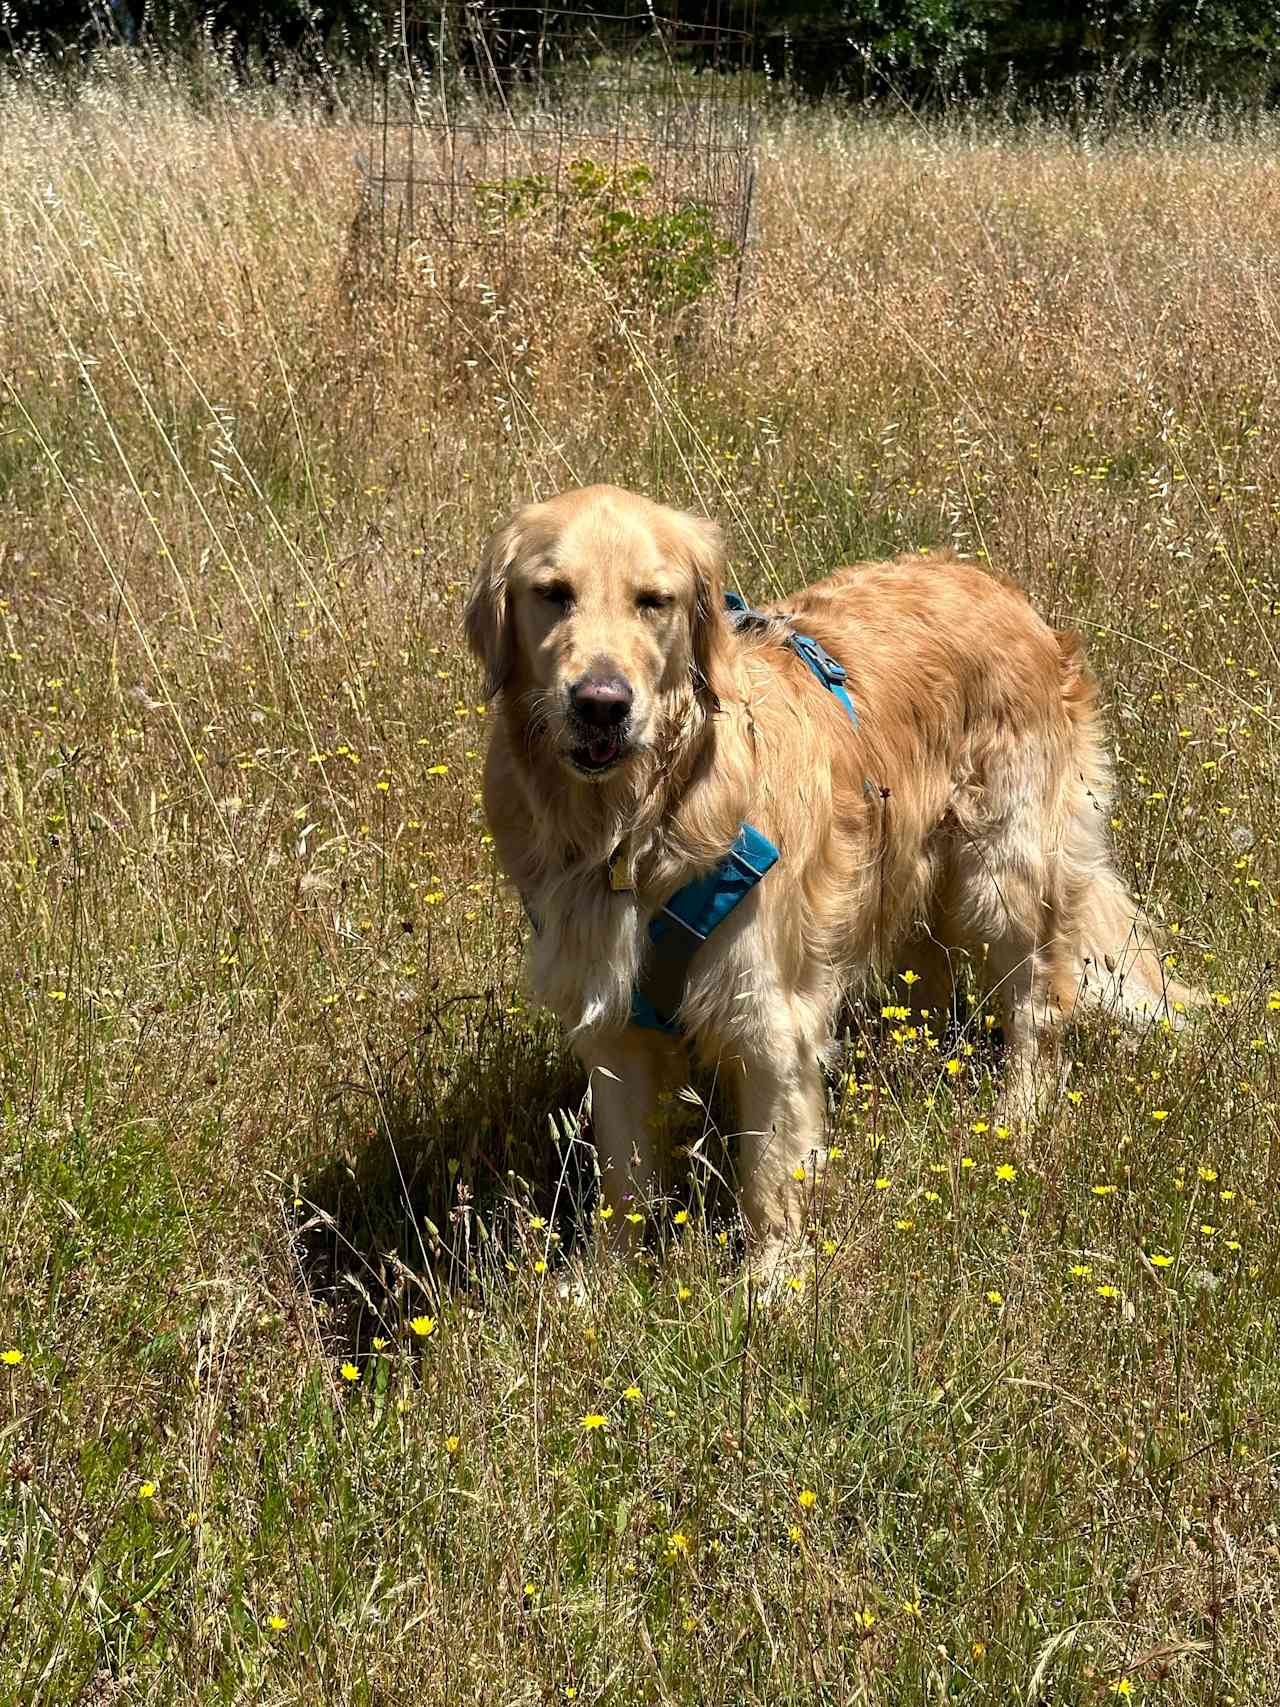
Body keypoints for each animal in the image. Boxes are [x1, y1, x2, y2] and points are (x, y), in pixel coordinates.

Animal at [467, 481, 1201, 1270]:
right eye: (553, 594)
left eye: (652, 601)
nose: (601, 704)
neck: (643, 819)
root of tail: (999, 587)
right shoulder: (612, 1018)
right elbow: (623, 1177)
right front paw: (606, 1280)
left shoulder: (766, 1009)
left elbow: (768, 1173)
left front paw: (770, 1279)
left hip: (1002, 872)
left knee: (1036, 1000)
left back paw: (1016, 1115)